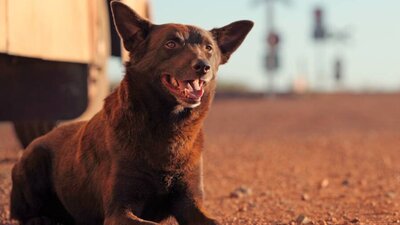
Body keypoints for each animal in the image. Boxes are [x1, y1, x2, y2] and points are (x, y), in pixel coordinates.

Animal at [10, 0, 253, 224]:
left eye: (208, 48)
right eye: (171, 44)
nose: (203, 66)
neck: (169, 128)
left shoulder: (190, 202)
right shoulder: (119, 210)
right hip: (34, 160)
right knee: (23, 214)